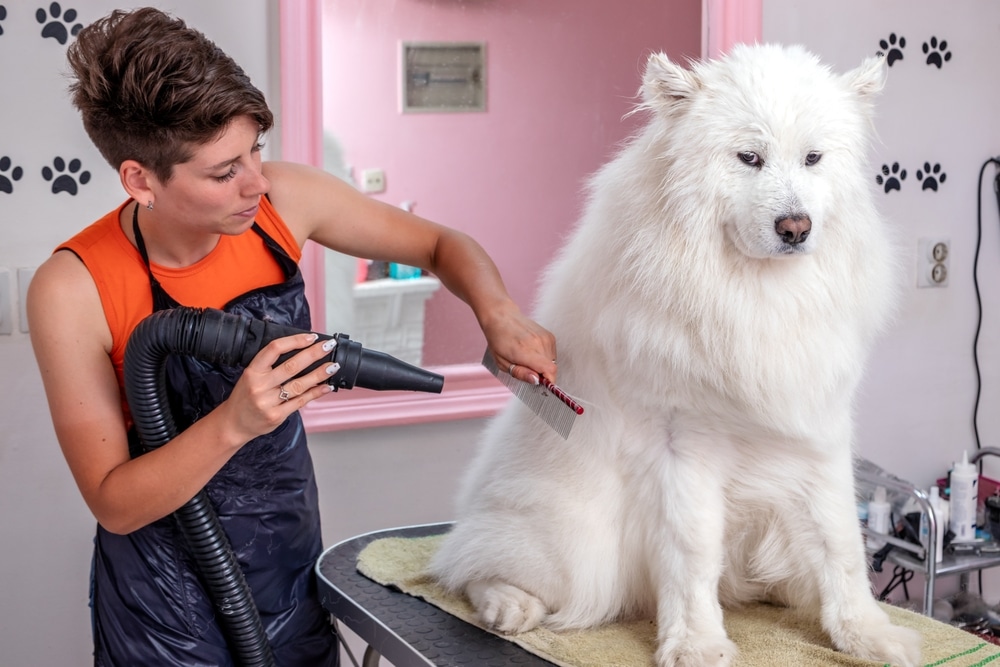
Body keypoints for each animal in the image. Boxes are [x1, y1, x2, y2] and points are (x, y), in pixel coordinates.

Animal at [430, 43, 920, 667]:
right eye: (749, 157)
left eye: (813, 158)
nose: (795, 226)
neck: (758, 299)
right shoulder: (685, 445)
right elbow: (691, 555)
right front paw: (697, 644)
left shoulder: (821, 433)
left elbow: (843, 546)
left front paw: (867, 634)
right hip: (572, 542)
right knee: (470, 562)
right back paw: (508, 606)